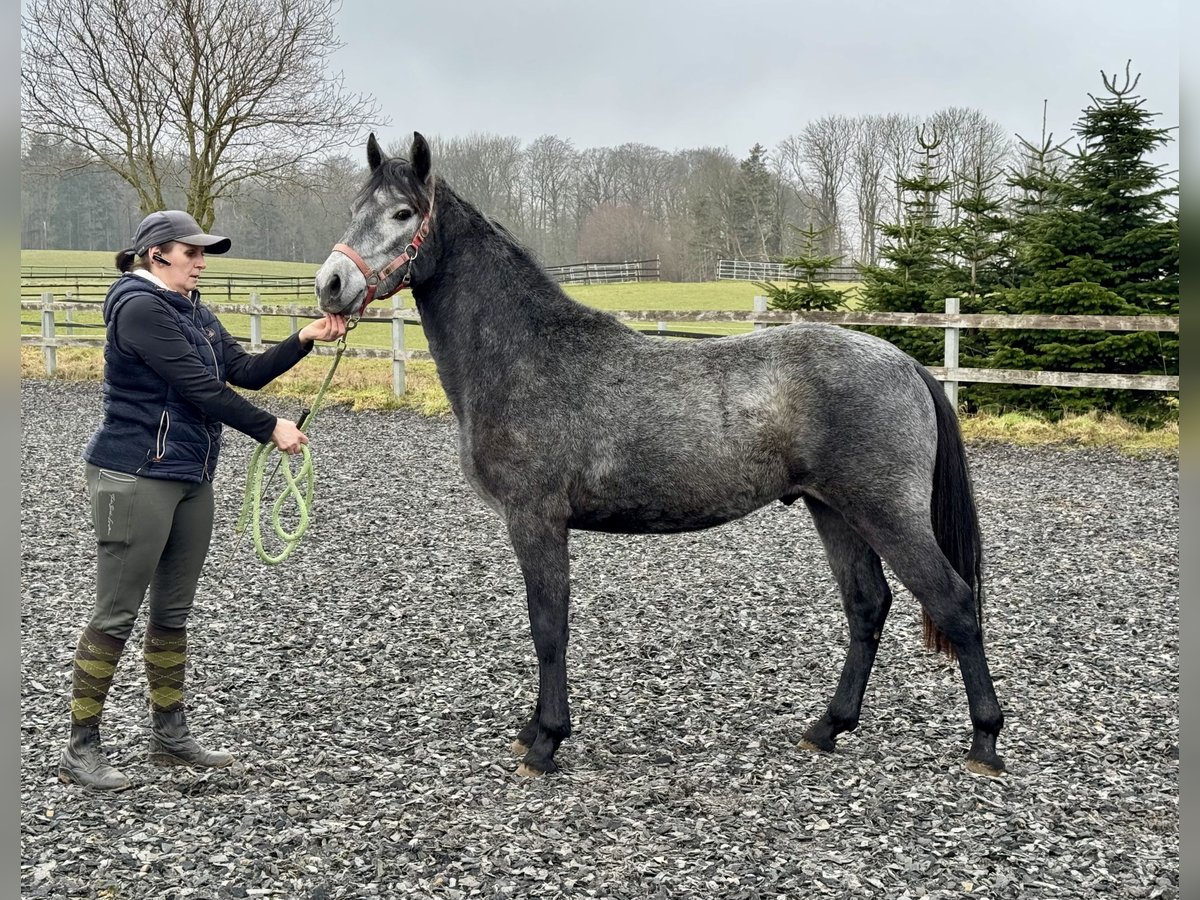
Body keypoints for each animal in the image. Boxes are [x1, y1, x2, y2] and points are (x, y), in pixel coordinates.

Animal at [314, 130, 1008, 777]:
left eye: (403, 212)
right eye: (353, 206)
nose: (331, 284)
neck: (527, 355)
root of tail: (905, 363)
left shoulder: (535, 518)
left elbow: (548, 626)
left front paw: (545, 741)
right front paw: (534, 729)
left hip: (885, 513)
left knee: (953, 602)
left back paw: (985, 743)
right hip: (833, 509)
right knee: (868, 606)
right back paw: (827, 728)